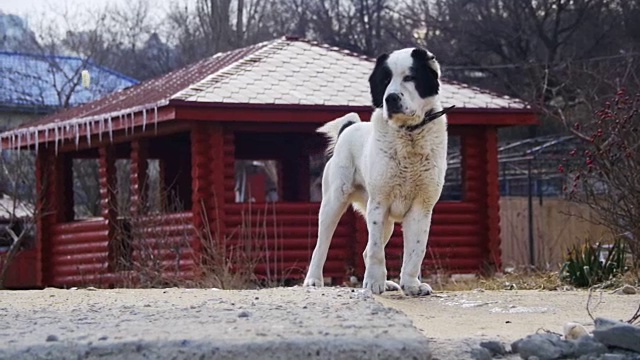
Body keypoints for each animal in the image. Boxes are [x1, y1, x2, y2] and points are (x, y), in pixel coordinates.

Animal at [302, 47, 452, 296]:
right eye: (385, 80)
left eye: (410, 77)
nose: (390, 98)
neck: (409, 134)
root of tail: (349, 127)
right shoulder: (379, 203)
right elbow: (375, 251)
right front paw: (373, 283)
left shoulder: (422, 207)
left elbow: (416, 251)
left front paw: (411, 285)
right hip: (334, 203)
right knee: (321, 244)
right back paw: (313, 280)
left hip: (386, 221)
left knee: (366, 249)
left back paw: (390, 283)